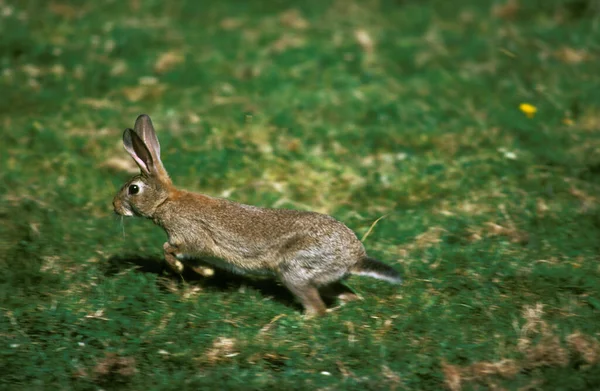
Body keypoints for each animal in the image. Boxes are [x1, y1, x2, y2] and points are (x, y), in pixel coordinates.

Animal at [113, 115, 404, 316]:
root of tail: (355, 258)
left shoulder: (189, 237)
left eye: (133, 189)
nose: (114, 206)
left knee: (316, 306)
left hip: (295, 269)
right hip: (324, 277)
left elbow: (169, 249)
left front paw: (178, 268)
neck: (164, 202)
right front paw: (205, 271)